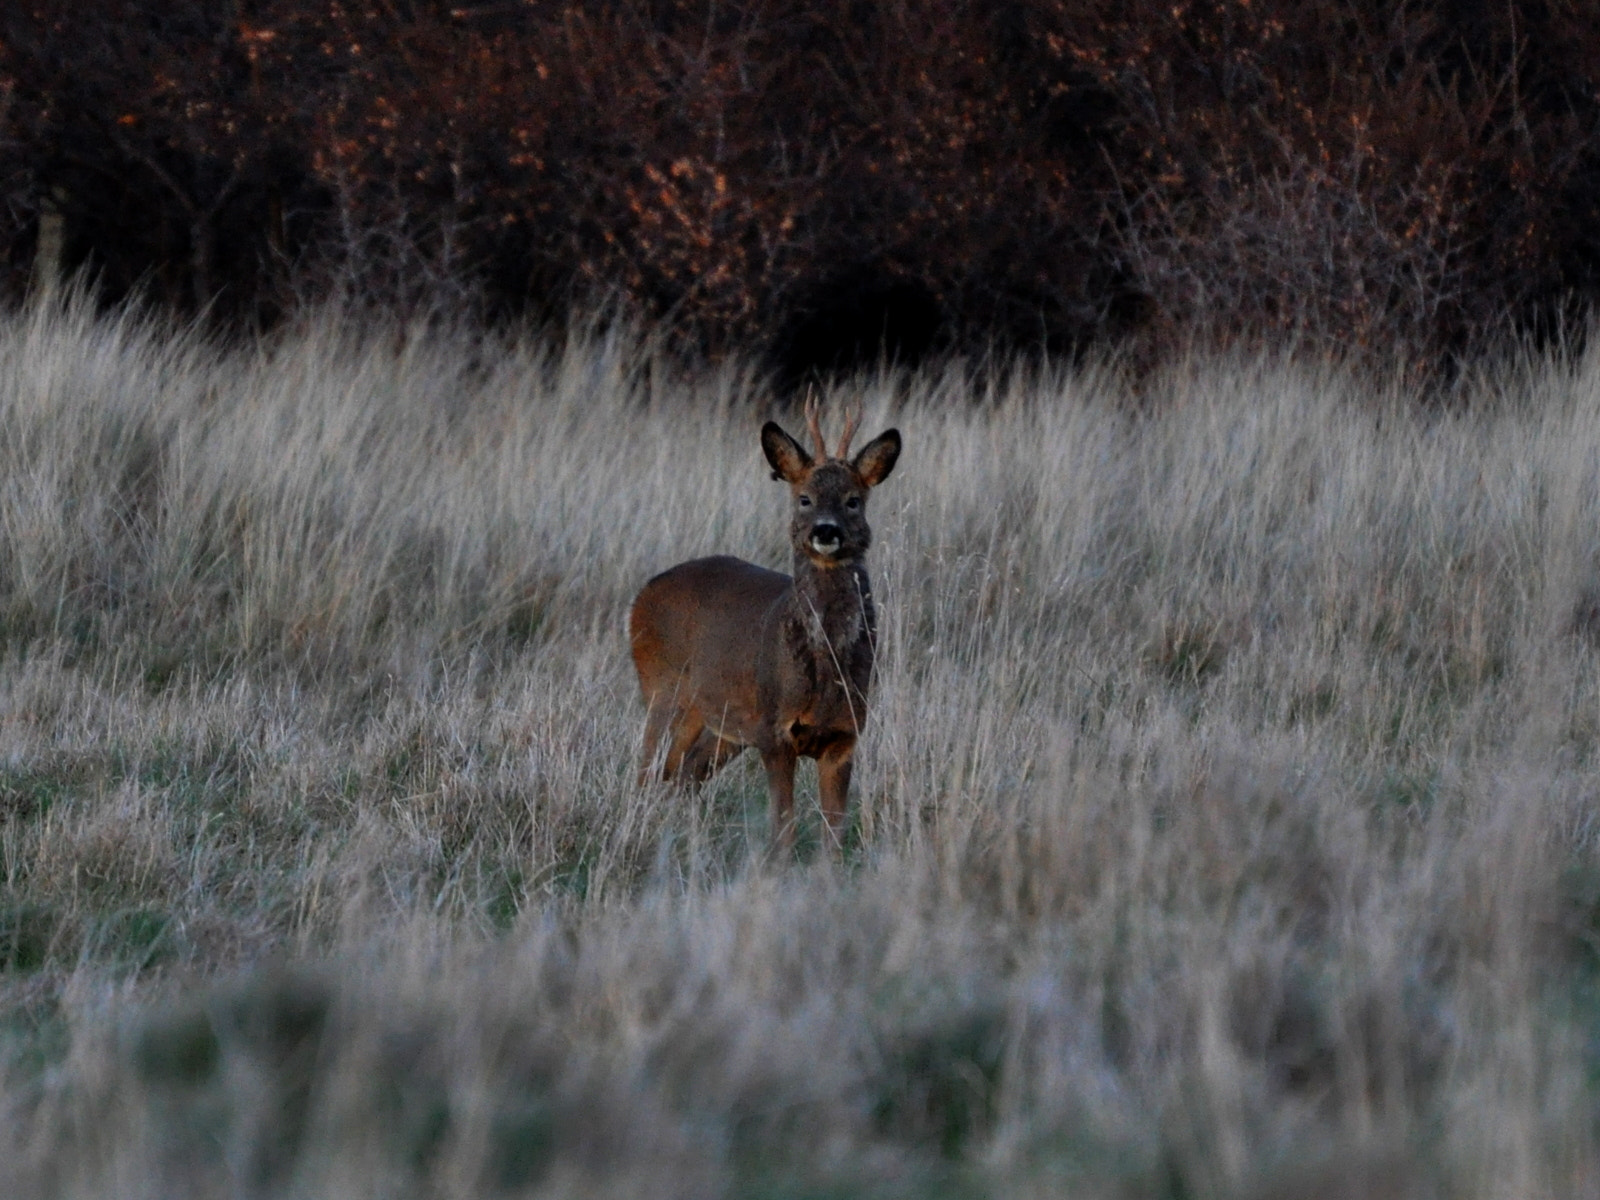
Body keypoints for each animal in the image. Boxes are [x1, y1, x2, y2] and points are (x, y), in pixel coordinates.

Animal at [628, 399, 901, 854]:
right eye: (804, 498)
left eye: (853, 500)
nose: (825, 531)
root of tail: (642, 595)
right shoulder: (775, 731)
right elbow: (783, 828)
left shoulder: (846, 734)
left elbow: (833, 834)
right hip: (663, 691)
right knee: (649, 771)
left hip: (723, 723)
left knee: (685, 773)